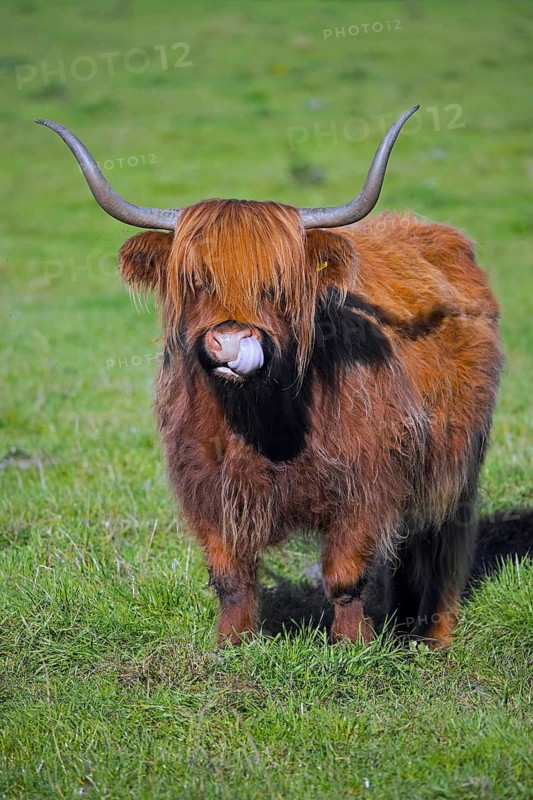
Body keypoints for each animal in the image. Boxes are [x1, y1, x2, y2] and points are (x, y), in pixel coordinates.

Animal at [36, 106, 502, 648]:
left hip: (460, 463)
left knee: (443, 544)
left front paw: (354, 646)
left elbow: (345, 575)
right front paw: (230, 643)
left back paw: (434, 634)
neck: (261, 423)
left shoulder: (367, 484)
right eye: (197, 281)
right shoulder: (206, 485)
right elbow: (230, 575)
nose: (230, 341)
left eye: (275, 285)